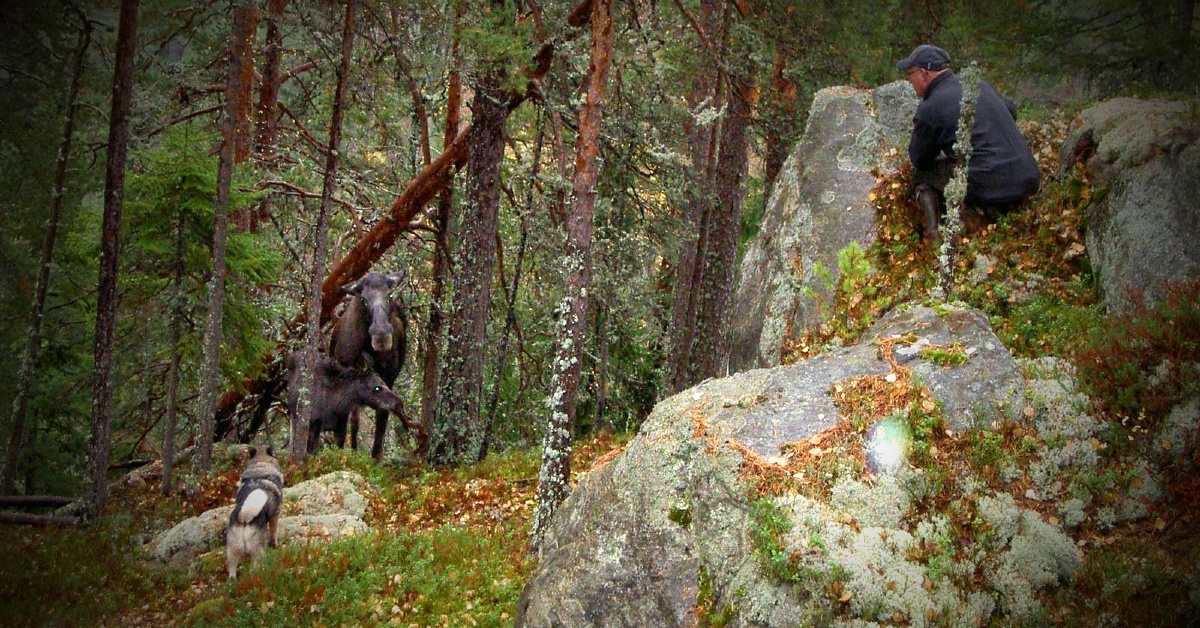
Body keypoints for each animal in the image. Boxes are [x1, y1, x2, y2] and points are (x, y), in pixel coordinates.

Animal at [224, 446, 284, 581]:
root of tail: (245, 519)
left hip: (232, 549)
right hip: (257, 550)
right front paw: (275, 545)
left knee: (232, 569)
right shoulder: (275, 515)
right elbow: (273, 531)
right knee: (254, 568)